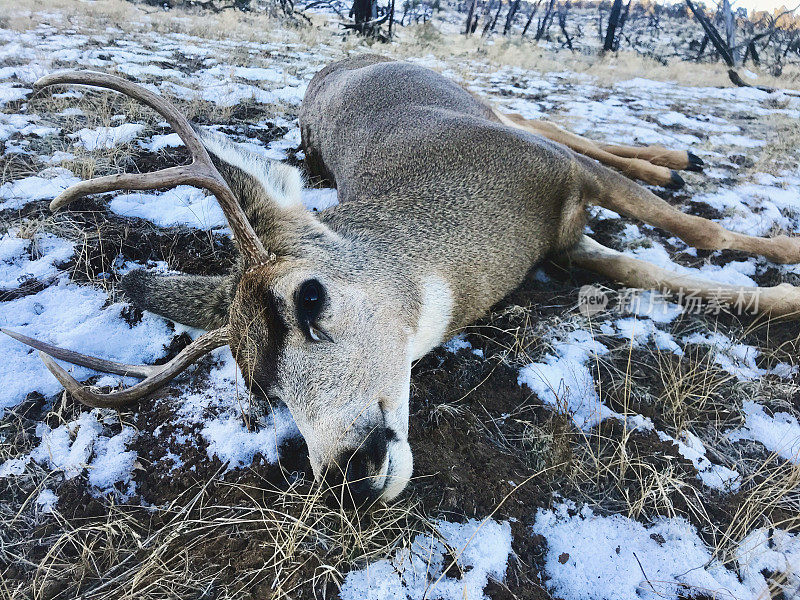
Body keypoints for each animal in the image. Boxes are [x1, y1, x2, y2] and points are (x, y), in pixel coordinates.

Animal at [6, 56, 800, 506]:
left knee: (552, 122)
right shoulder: (566, 246)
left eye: (312, 297)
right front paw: (781, 294)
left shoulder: (560, 176)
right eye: (263, 391)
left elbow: (705, 235)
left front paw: (786, 257)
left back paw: (678, 161)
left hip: (491, 107)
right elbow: (659, 272)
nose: (346, 474)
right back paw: (677, 161)